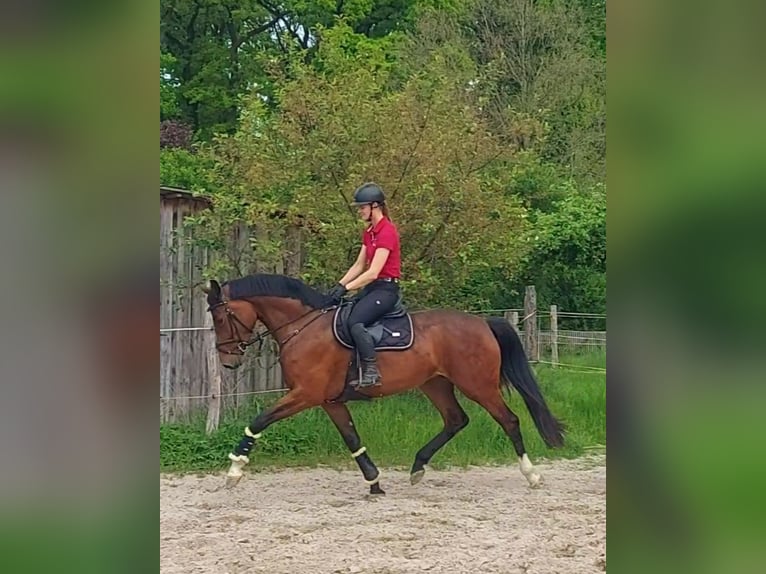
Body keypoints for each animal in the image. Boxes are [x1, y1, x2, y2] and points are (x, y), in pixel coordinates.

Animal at [202, 273, 565, 494]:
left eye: (220, 318)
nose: (228, 361)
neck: (303, 327)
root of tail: (482, 323)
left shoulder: (305, 394)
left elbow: (259, 421)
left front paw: (234, 471)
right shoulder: (330, 401)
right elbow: (352, 438)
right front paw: (374, 481)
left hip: (478, 385)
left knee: (509, 420)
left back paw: (532, 475)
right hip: (435, 384)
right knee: (455, 420)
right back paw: (417, 467)